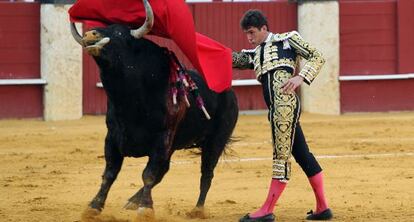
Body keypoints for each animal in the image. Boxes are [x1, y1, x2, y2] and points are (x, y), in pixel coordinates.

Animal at [72, 23, 239, 218]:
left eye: (120, 34)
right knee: (164, 170)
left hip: (215, 140)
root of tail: (229, 91)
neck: (130, 101)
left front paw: (145, 209)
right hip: (174, 146)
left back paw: (197, 210)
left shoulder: (161, 139)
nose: (91, 34)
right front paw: (93, 207)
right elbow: (110, 173)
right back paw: (132, 201)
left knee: (206, 173)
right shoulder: (112, 138)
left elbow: (148, 174)